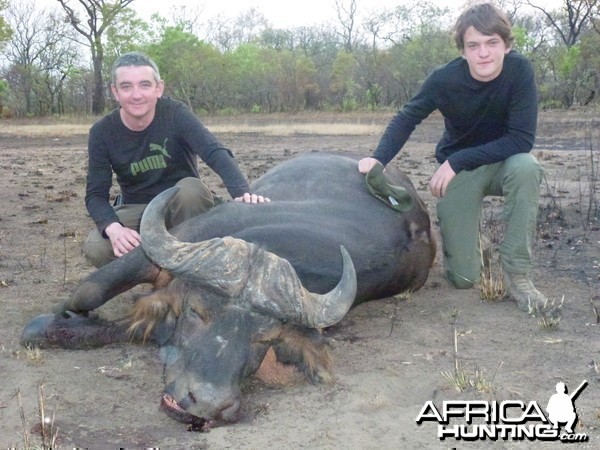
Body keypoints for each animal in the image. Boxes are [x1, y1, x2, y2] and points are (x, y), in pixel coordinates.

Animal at [22, 153, 436, 430]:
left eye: (263, 340)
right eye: (196, 312)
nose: (207, 403)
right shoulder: (158, 251)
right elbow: (88, 290)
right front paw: (58, 318)